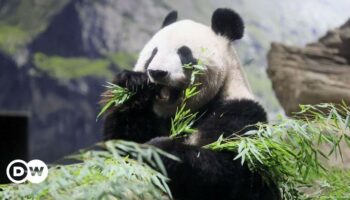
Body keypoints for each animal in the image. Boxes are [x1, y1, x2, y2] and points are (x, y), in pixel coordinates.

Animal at [100, 7, 278, 200]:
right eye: (153, 53)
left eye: (184, 53)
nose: (157, 72)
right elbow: (117, 148)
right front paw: (133, 83)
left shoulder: (240, 113)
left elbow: (234, 171)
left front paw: (158, 149)